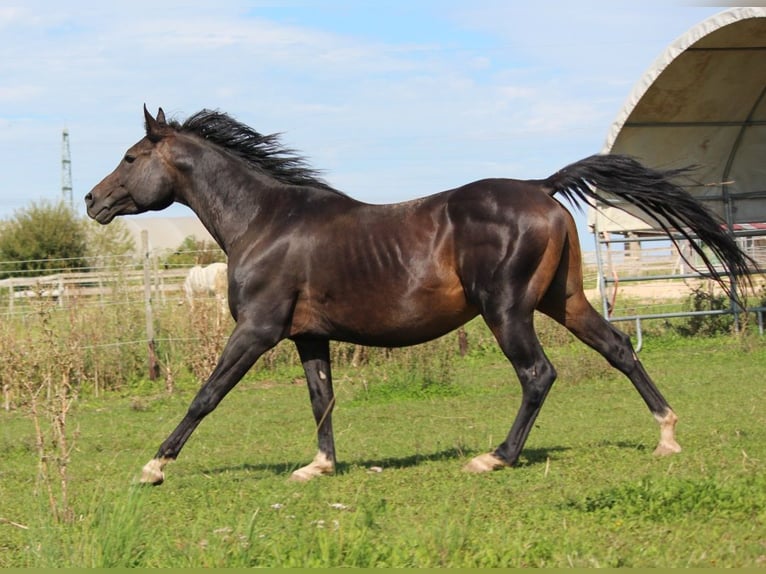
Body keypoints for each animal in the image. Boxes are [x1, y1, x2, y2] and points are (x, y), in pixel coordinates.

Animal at [85, 106, 754, 485]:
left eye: (131, 156)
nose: (92, 200)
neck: (267, 221)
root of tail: (541, 187)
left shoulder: (257, 331)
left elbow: (207, 396)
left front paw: (154, 467)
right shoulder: (308, 336)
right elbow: (321, 400)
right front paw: (319, 467)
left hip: (507, 310)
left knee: (538, 374)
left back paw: (495, 458)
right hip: (563, 301)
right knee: (618, 349)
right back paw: (666, 436)